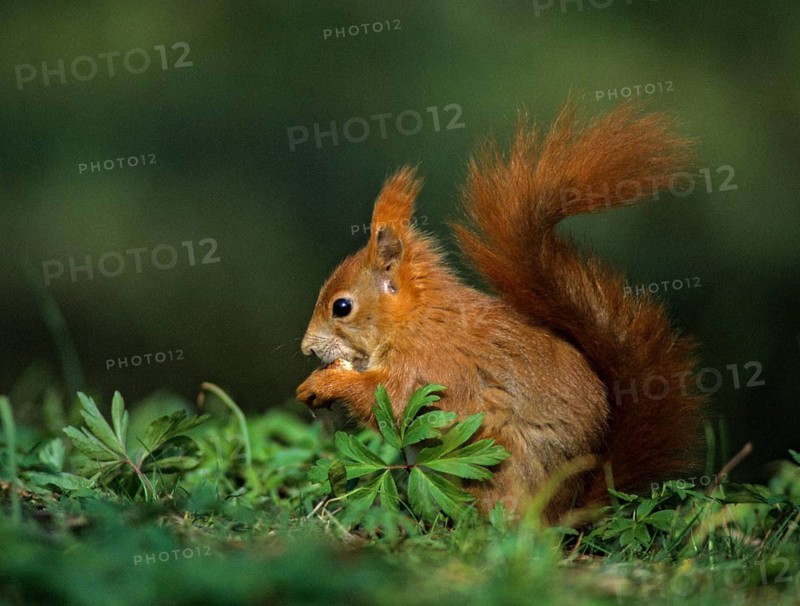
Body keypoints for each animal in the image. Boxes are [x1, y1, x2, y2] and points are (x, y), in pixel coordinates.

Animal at [296, 103, 705, 522]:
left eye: (341, 307)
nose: (306, 349)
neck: (414, 321)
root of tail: (568, 512)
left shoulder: (430, 365)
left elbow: (393, 401)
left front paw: (324, 384)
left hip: (496, 471)